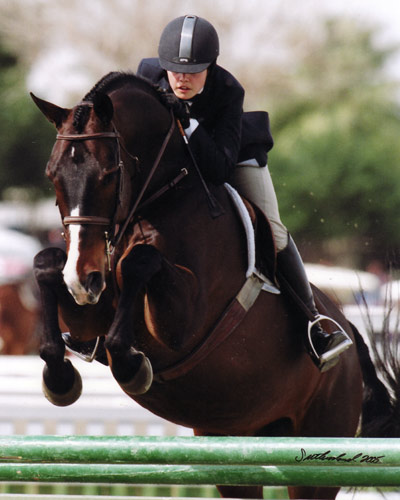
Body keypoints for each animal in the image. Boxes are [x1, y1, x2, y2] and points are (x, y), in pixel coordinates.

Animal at [28, 71, 400, 500]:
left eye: (108, 174)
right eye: (52, 175)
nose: (83, 279)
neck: (161, 195)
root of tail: (352, 336)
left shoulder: (183, 323)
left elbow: (139, 263)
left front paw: (131, 365)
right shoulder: (92, 313)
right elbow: (46, 264)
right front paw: (59, 376)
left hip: (316, 449)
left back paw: (324, 339)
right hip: (235, 448)